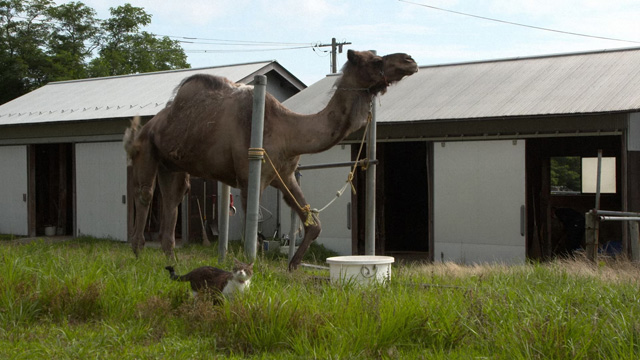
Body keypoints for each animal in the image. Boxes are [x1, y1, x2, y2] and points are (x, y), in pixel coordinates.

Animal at [122, 50, 418, 270]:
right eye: (376, 60)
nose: (409, 60)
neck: (289, 131)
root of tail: (149, 125)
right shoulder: (249, 178)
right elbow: (252, 235)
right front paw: (247, 269)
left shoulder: (284, 176)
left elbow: (314, 224)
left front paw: (293, 265)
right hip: (147, 150)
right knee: (145, 194)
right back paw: (137, 255)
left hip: (172, 165)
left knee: (173, 198)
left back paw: (171, 262)